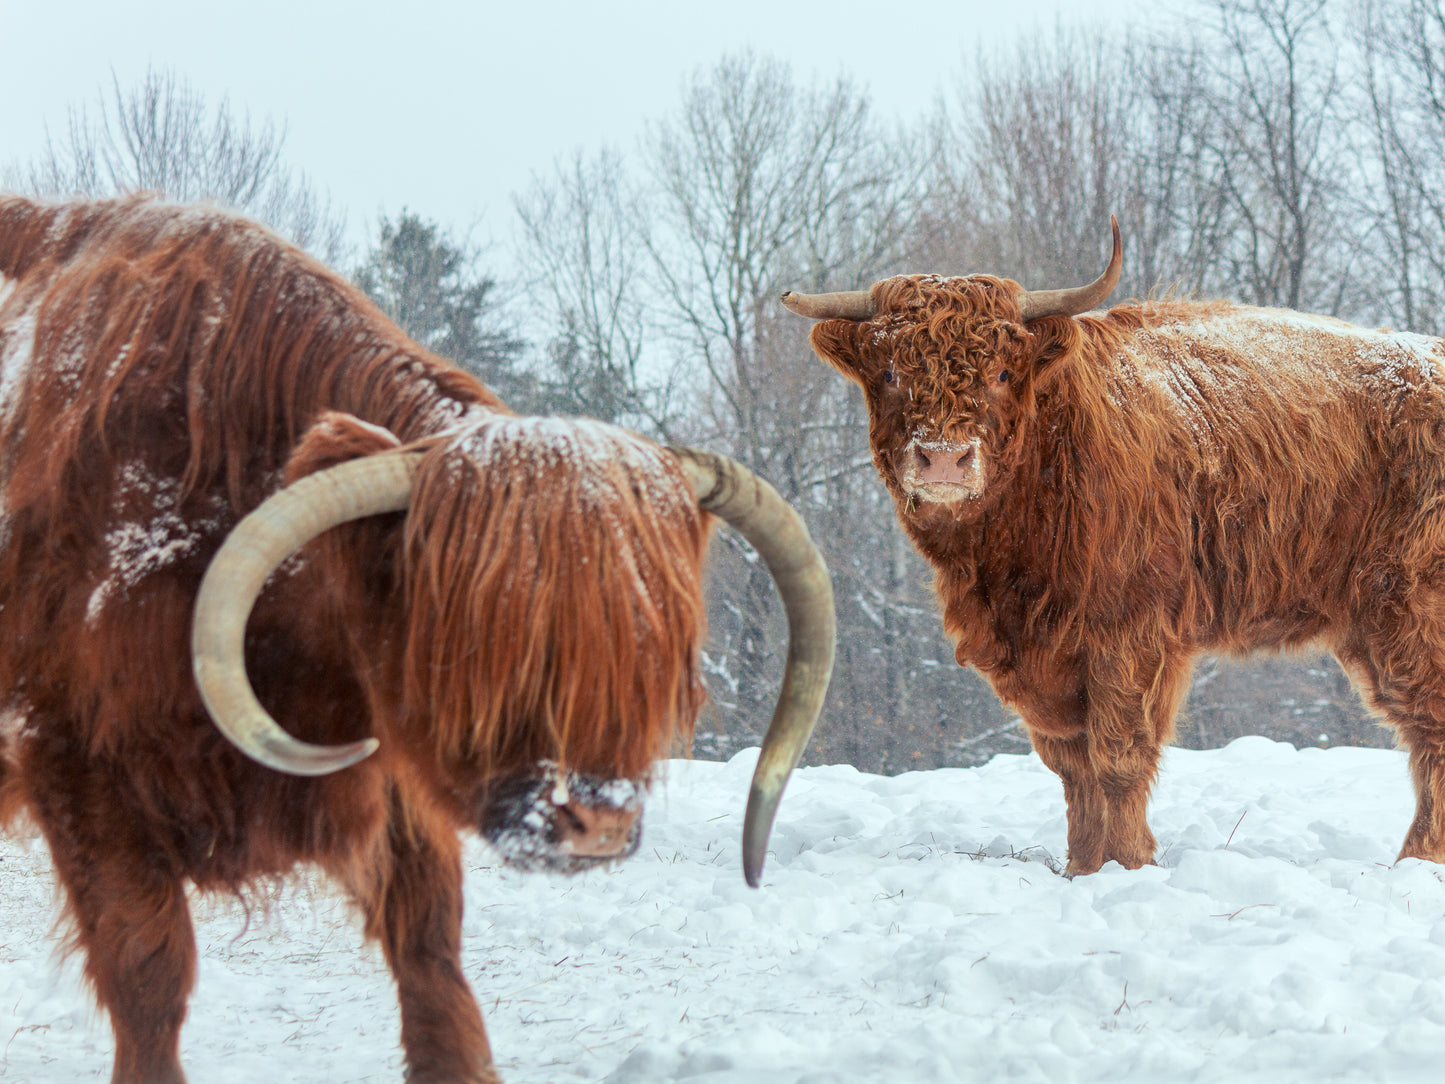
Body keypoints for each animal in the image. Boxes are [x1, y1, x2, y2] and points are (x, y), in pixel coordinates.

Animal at [0, 195, 838, 1084]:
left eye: (655, 653)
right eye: (483, 638)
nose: (598, 821)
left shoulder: (392, 774)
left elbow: (431, 956)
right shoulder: (73, 764)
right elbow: (148, 974)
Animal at [786, 213, 1445, 884]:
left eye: (1002, 373)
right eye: (891, 373)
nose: (943, 458)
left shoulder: (1131, 633)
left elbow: (1119, 755)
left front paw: (1128, 865)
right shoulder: (1043, 656)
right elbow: (1072, 766)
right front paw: (1081, 867)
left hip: (1409, 610)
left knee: (1430, 726)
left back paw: (1417, 860)